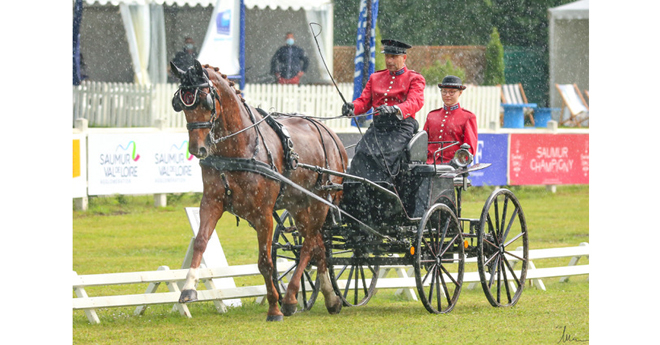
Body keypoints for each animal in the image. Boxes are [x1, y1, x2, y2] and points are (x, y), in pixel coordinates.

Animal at [168, 59, 348, 320]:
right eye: (180, 104)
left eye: (205, 101)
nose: (197, 148)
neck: (238, 148)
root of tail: (331, 134)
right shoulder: (211, 202)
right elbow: (201, 242)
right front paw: (188, 289)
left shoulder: (264, 214)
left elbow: (265, 262)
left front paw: (274, 307)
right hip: (299, 206)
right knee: (317, 244)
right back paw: (330, 298)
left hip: (321, 201)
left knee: (308, 246)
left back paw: (290, 298)